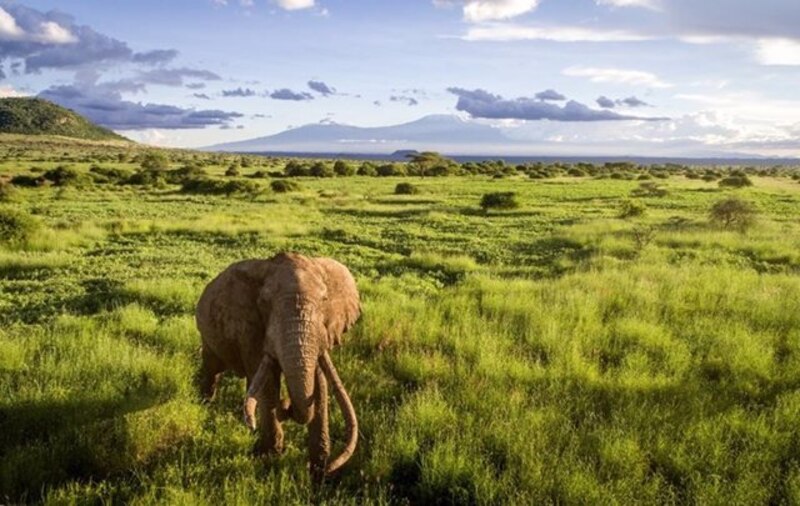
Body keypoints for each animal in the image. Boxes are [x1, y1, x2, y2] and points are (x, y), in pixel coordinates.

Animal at [197, 251, 362, 480]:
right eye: (264, 303)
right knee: (212, 368)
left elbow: (319, 382)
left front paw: (319, 471)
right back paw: (205, 404)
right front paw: (270, 458)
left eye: (324, 300)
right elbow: (269, 383)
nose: (286, 405)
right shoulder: (251, 328)